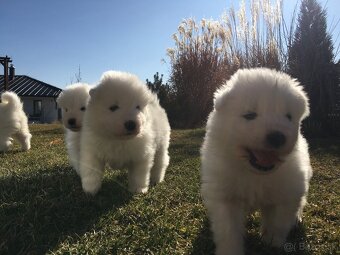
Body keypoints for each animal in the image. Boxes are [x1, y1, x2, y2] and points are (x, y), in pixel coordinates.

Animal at [202, 68, 314, 255]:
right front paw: (230, 250)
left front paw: (272, 243)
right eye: (250, 115)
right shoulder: (226, 197)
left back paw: (296, 219)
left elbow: (278, 222)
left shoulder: (286, 192)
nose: (277, 137)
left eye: (288, 117)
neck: (255, 174)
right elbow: (228, 230)